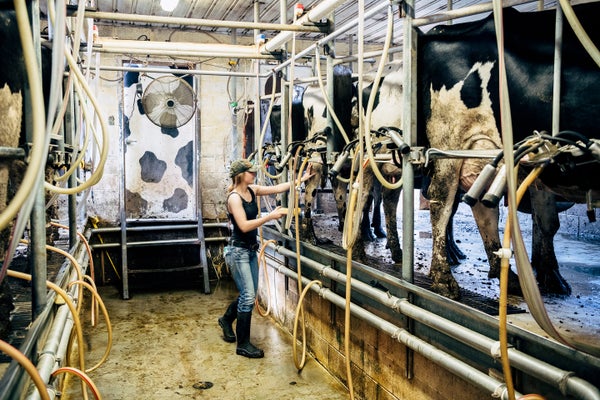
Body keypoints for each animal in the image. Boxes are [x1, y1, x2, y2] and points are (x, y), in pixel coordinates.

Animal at [418, 1, 600, 298]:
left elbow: (547, 222)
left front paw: (551, 276)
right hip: (450, 145)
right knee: (442, 203)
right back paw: (444, 278)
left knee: (480, 207)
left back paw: (506, 275)